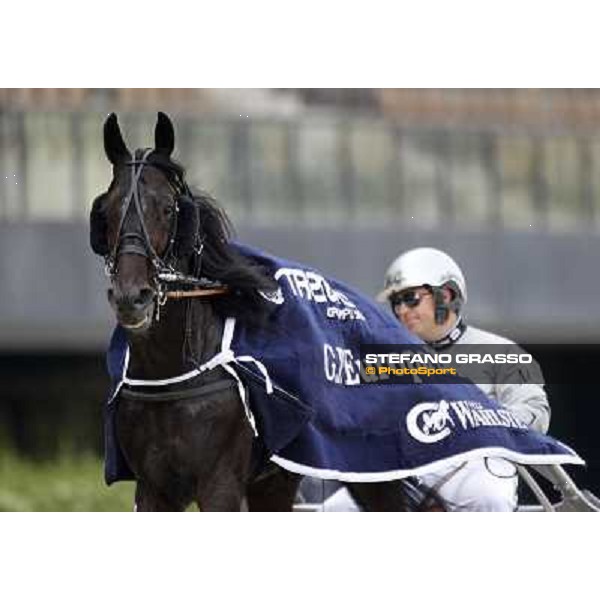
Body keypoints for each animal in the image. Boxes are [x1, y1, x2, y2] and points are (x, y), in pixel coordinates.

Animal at [90, 112, 408, 510]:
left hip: (372, 469)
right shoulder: (153, 489)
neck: (171, 376)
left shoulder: (220, 483)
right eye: (106, 211)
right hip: (275, 482)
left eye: (166, 208)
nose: (132, 297)